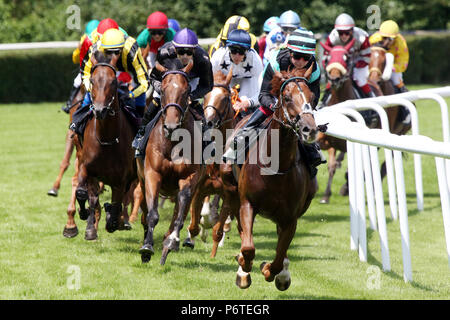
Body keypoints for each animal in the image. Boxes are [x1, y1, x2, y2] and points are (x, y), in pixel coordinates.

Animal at [74, 53, 137, 240]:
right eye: (92, 80)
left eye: (113, 82)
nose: (100, 110)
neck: (106, 140)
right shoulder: (86, 167)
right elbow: (83, 194)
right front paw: (86, 220)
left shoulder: (121, 179)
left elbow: (117, 203)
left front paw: (113, 221)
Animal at [135, 59, 202, 264]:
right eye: (163, 91)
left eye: (186, 91)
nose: (171, 126)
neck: (172, 142)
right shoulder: (152, 174)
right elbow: (152, 214)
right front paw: (147, 247)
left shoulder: (190, 177)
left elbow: (180, 215)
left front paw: (172, 241)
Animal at [220, 63, 318, 292]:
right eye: (287, 97)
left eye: (312, 96)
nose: (309, 129)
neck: (276, 169)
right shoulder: (247, 203)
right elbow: (248, 248)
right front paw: (244, 268)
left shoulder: (291, 217)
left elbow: (279, 255)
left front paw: (272, 271)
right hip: (232, 190)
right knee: (241, 230)